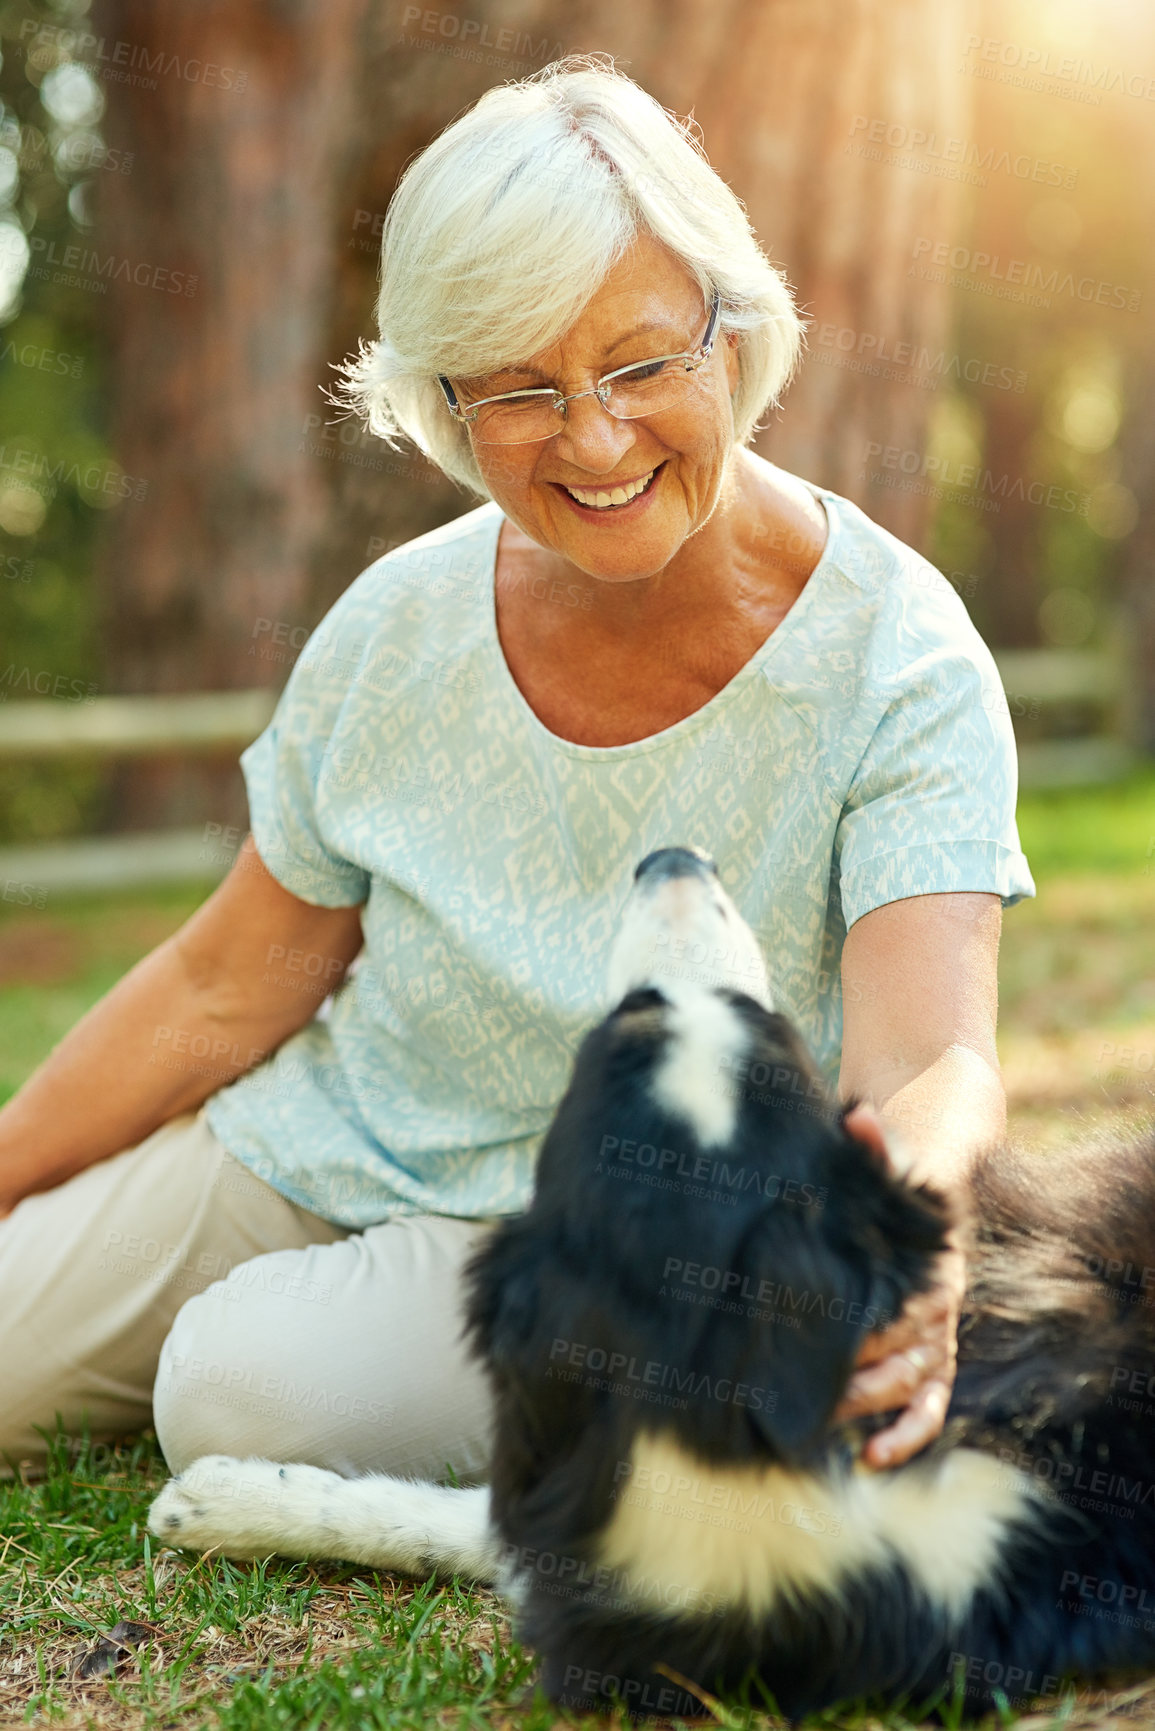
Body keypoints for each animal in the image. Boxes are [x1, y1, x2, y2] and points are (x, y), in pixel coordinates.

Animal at [153, 848, 1155, 1717]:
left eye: (746, 1013)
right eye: (651, 1005)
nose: (673, 857)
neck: (732, 1419)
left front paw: (213, 1497)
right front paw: (222, 1501)